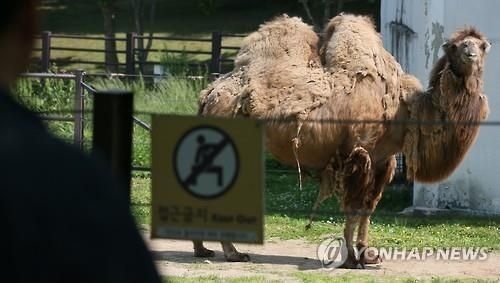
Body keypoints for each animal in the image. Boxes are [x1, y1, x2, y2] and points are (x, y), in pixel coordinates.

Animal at [195, 14, 488, 268]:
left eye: (482, 45)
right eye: (457, 46)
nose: (471, 55)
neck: (405, 109)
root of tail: (209, 94)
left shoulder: (382, 161)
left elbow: (368, 209)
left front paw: (368, 255)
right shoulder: (359, 153)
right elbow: (353, 208)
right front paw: (351, 259)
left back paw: (204, 249)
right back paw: (232, 253)